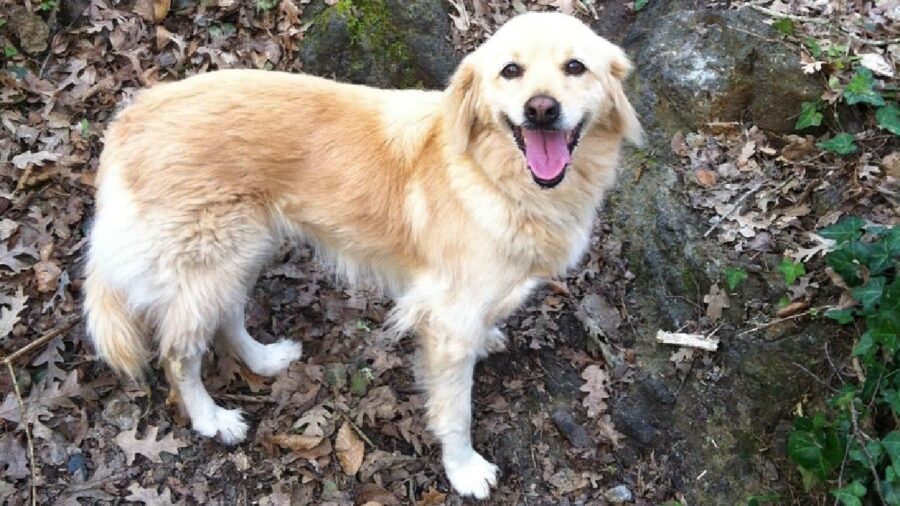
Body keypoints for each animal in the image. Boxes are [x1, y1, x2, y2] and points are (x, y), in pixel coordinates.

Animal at [84, 10, 640, 498]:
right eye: (511, 70)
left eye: (575, 67)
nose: (541, 109)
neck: (492, 175)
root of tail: (130, 117)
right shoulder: (448, 322)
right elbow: (455, 411)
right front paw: (463, 471)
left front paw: (488, 340)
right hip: (209, 259)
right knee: (178, 354)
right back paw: (211, 419)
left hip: (241, 250)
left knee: (225, 318)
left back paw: (264, 359)